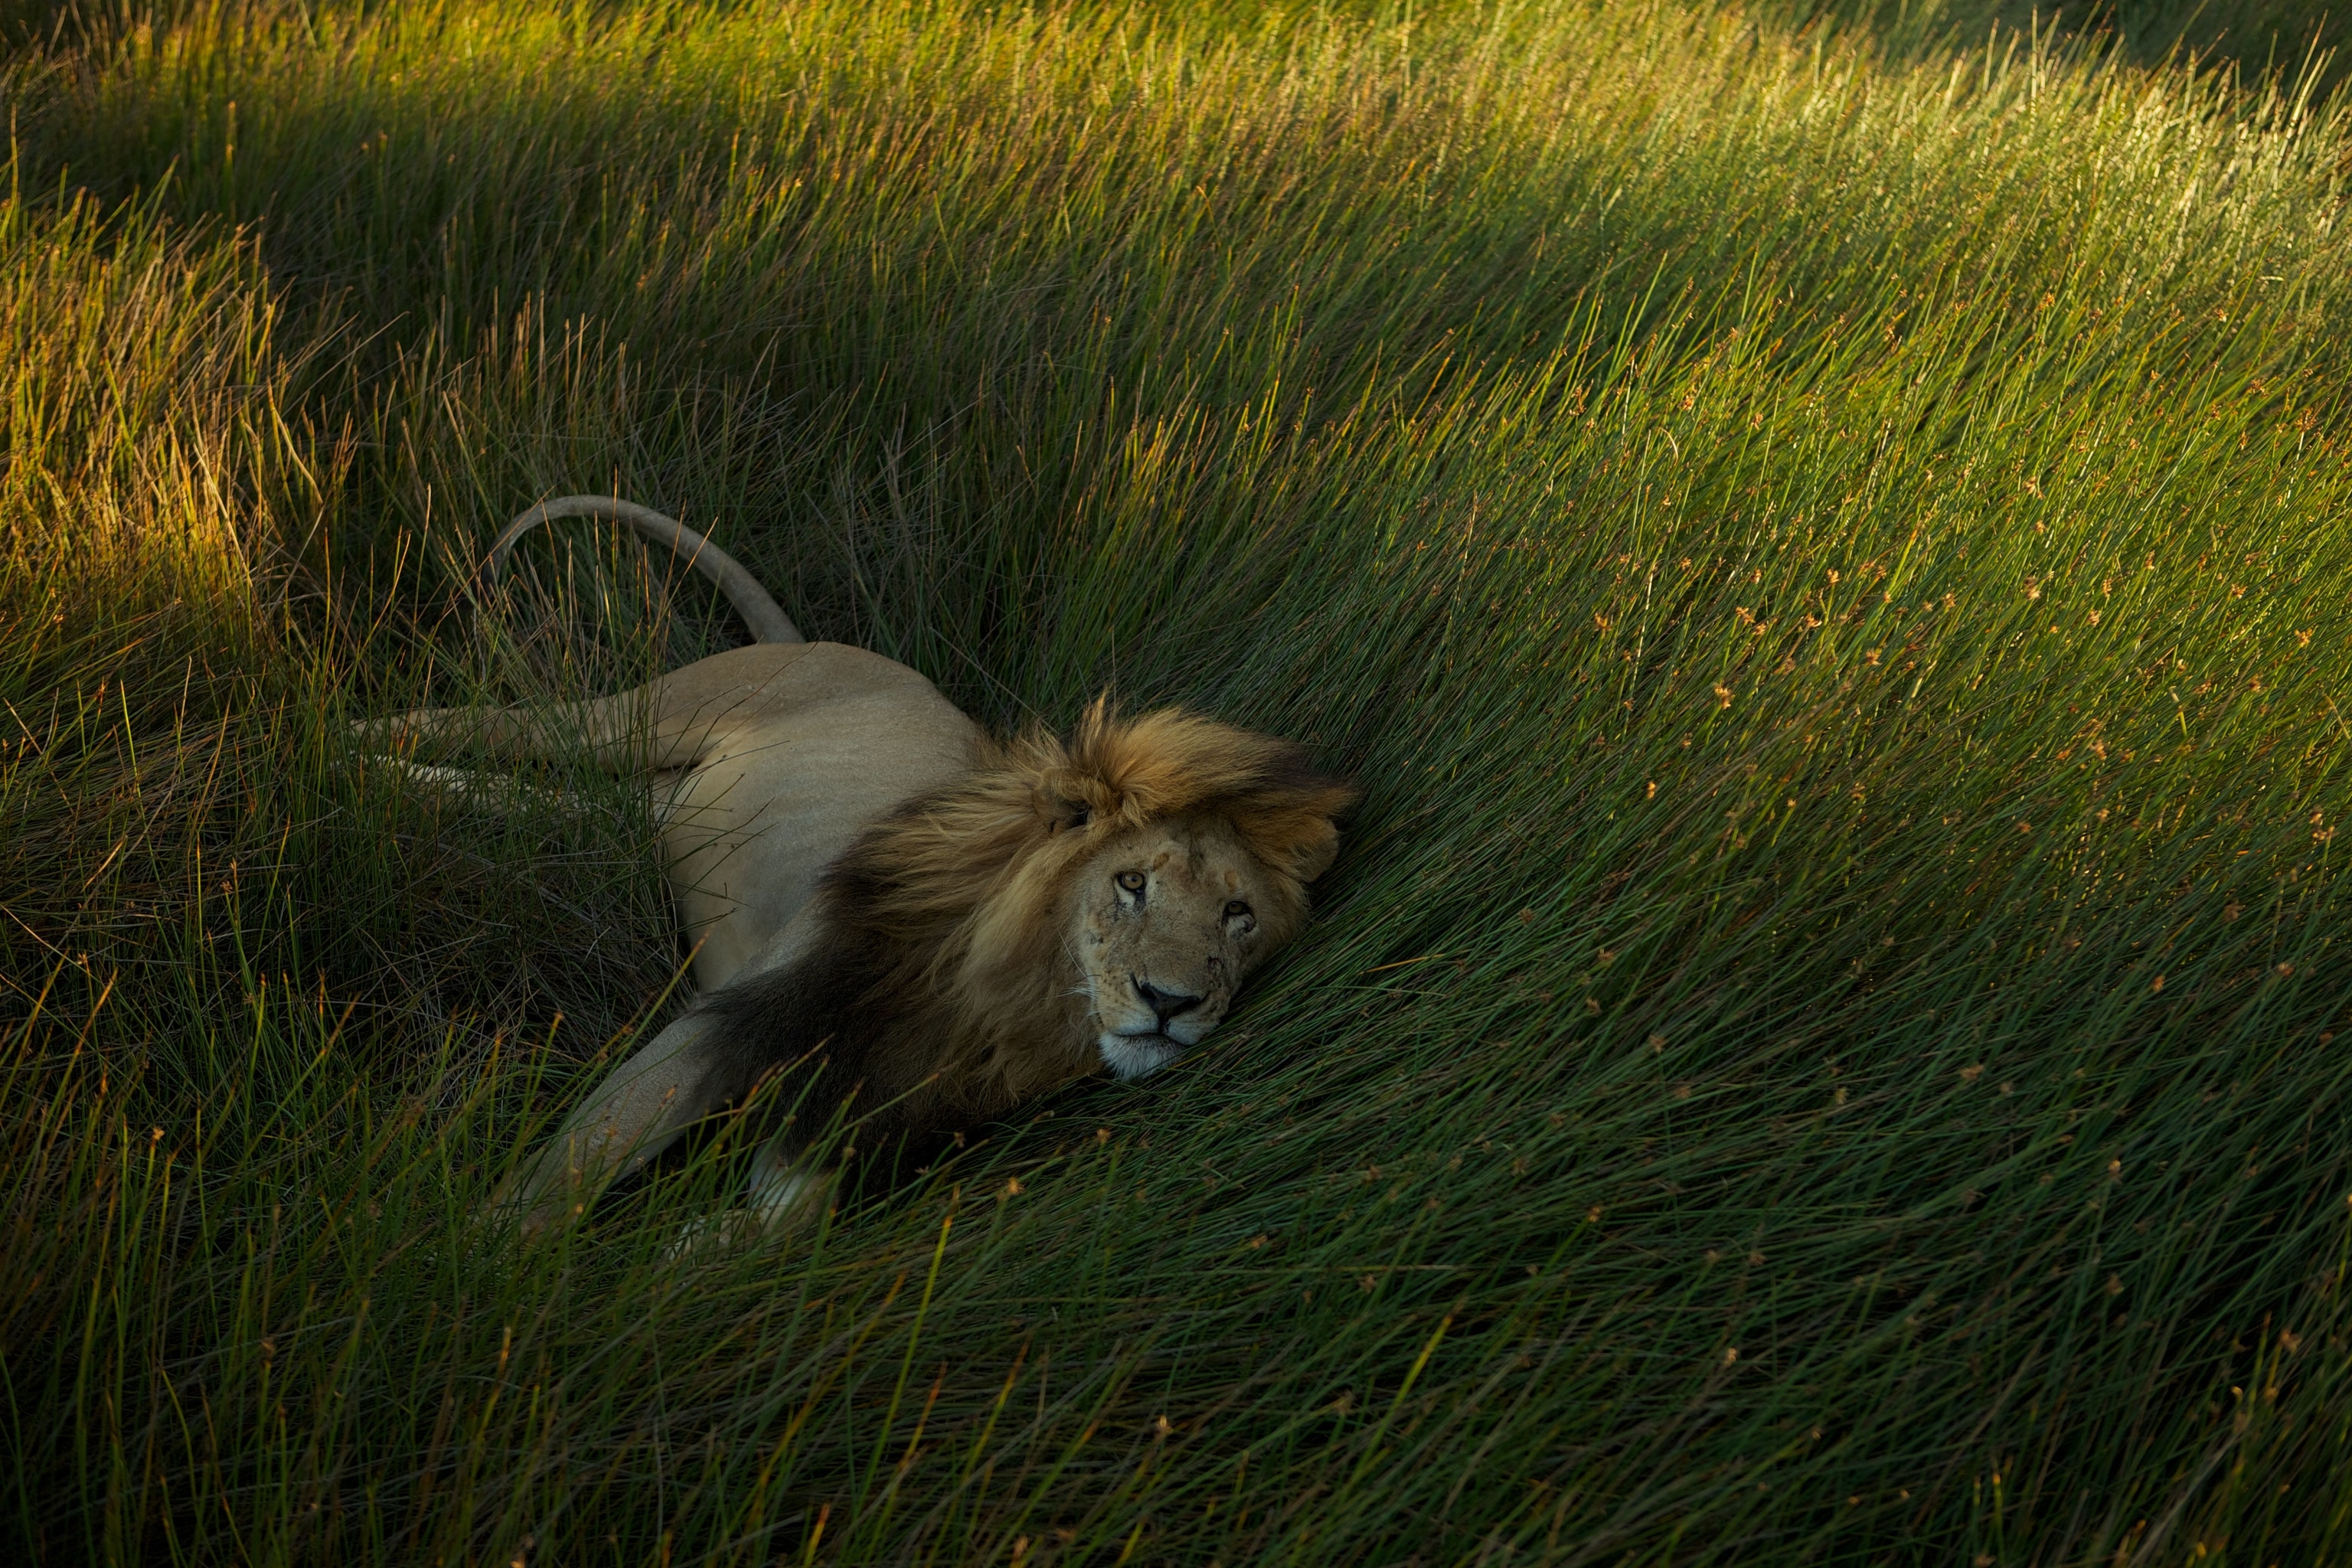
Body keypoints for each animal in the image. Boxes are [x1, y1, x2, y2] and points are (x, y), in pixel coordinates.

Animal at [357, 496, 1354, 1238]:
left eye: (1238, 916)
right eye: (1132, 882)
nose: (1170, 1002)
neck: (1002, 1010)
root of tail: (824, 642)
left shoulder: (849, 1116)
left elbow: (784, 1226)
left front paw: (682, 1254)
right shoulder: (737, 1016)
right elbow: (565, 1169)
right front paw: (476, 1272)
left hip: (652, 807)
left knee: (512, 794)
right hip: (638, 717)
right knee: (461, 721)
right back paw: (329, 738)